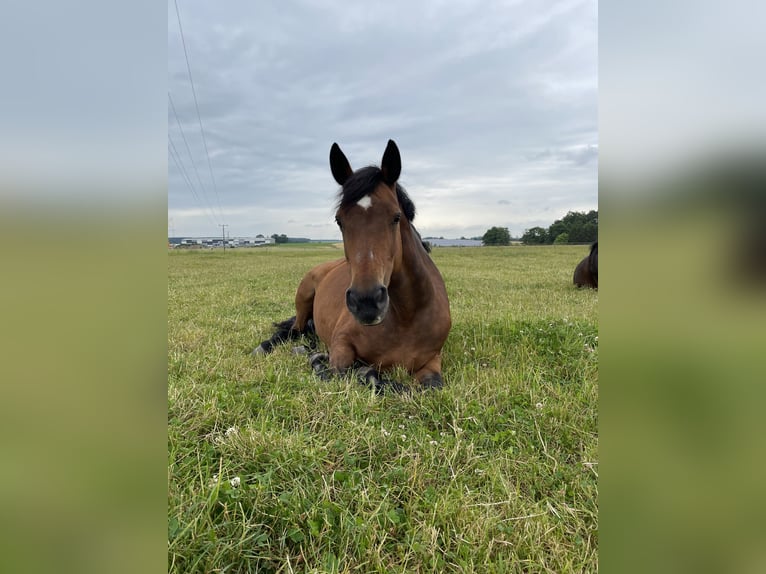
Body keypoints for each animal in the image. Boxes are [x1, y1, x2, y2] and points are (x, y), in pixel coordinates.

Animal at [255, 140, 452, 394]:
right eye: (339, 220)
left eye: (396, 217)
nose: (366, 302)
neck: (407, 316)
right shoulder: (340, 346)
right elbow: (345, 371)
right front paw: (323, 361)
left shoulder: (432, 362)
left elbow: (427, 387)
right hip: (303, 299)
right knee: (292, 331)